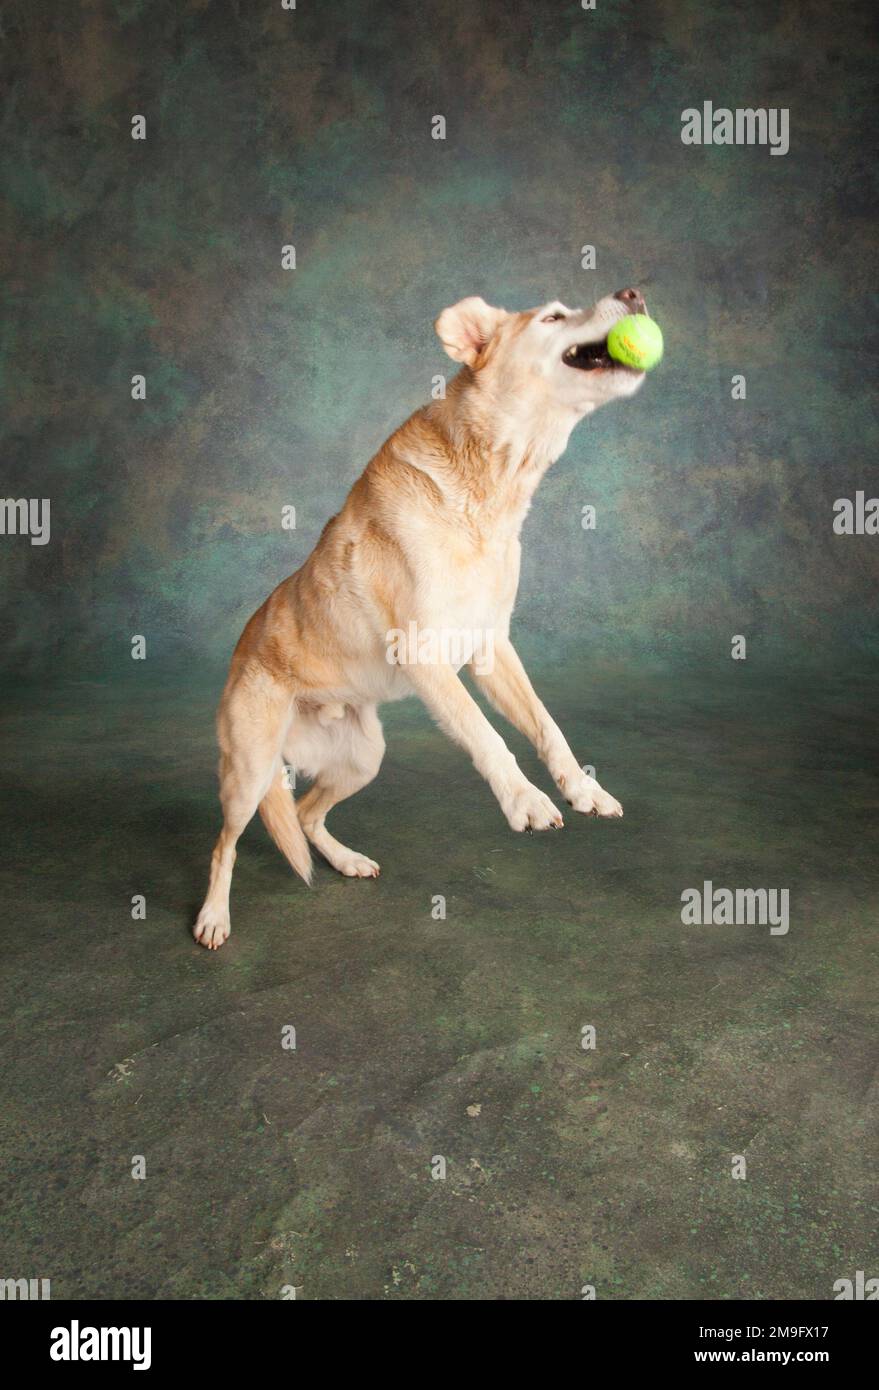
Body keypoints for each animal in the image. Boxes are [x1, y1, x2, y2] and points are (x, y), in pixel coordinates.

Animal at [196, 287, 648, 950]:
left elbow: (547, 727)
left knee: (305, 814)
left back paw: (346, 859)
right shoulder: (425, 654)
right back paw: (213, 917)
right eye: (554, 316)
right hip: (251, 772)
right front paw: (525, 800)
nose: (632, 294)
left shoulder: (491, 649)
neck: (491, 483)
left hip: (363, 756)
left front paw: (582, 788)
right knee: (224, 843)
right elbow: (487, 736)